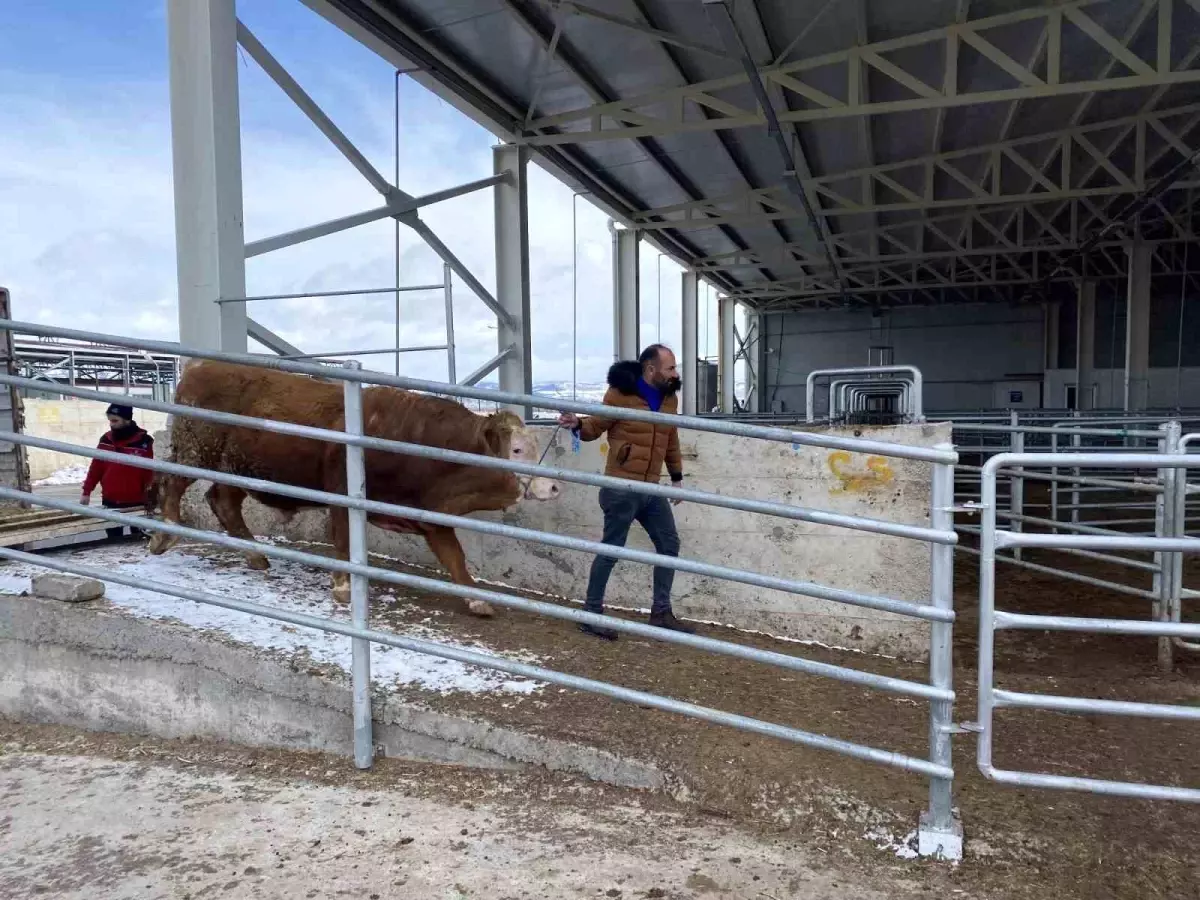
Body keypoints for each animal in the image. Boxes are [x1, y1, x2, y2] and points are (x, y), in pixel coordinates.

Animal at [147, 362, 559, 619]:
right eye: (517, 450)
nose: (553, 485)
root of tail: (199, 369)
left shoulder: (429, 514)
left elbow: (456, 559)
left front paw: (476, 601)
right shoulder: (343, 493)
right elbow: (344, 539)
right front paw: (344, 587)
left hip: (237, 470)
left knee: (223, 502)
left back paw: (256, 556)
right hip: (195, 451)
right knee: (172, 483)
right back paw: (165, 533)